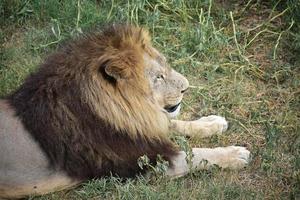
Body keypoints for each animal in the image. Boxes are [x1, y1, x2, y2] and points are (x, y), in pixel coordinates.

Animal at [0, 25, 250, 198]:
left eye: (166, 67)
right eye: (158, 77)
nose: (186, 87)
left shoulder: (137, 124)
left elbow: (172, 123)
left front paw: (211, 122)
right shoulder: (144, 160)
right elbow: (195, 155)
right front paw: (234, 154)